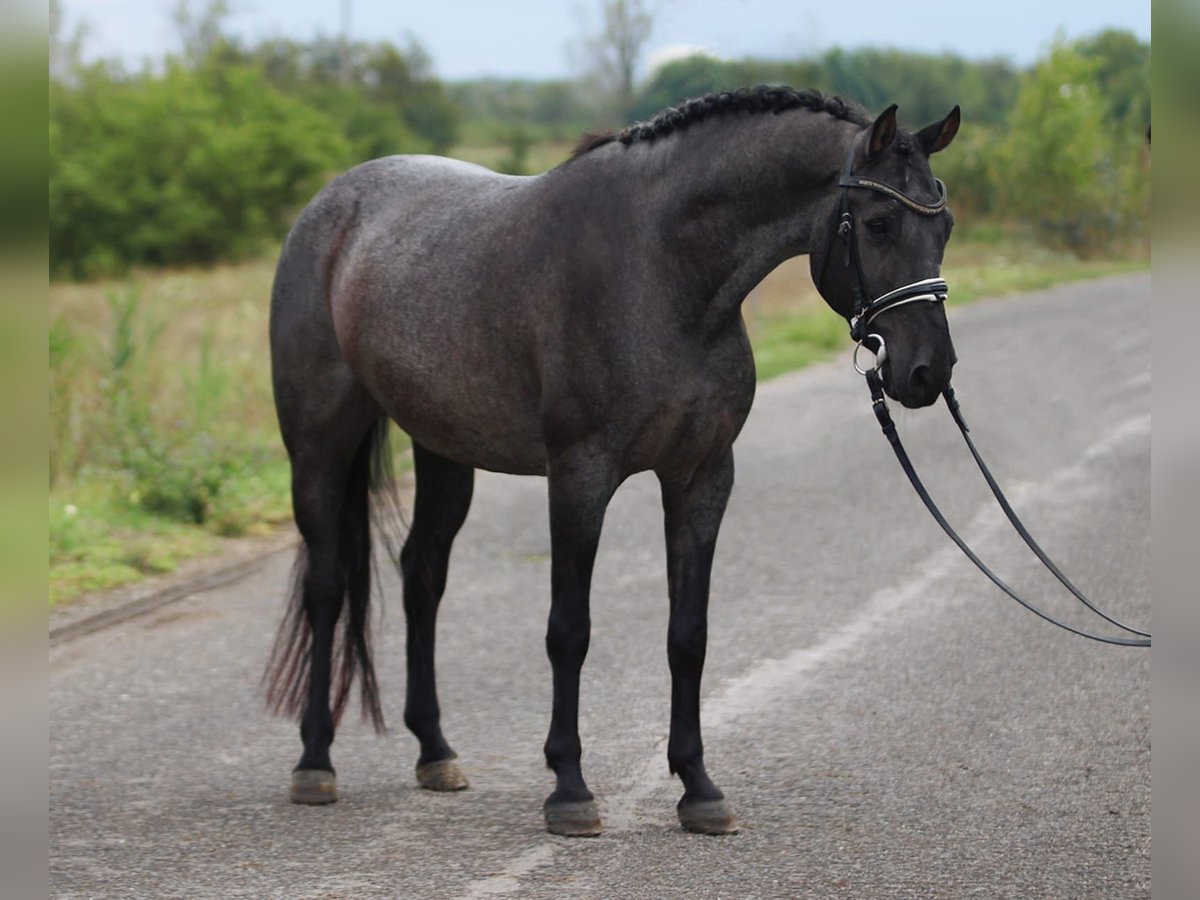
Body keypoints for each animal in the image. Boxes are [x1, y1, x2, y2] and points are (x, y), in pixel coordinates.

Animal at [267, 86, 960, 840]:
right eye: (880, 223)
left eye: (945, 225)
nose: (929, 372)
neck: (661, 269)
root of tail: (330, 206)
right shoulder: (580, 477)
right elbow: (569, 630)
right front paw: (569, 789)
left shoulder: (702, 477)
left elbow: (688, 634)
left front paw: (698, 788)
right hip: (319, 447)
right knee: (327, 587)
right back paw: (313, 763)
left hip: (444, 452)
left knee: (422, 575)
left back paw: (435, 752)